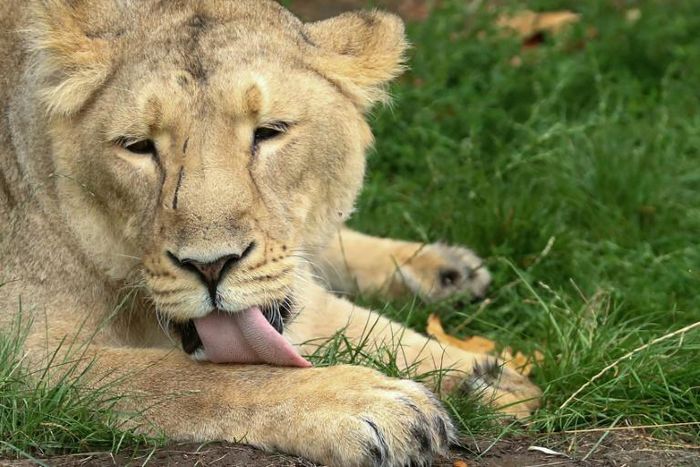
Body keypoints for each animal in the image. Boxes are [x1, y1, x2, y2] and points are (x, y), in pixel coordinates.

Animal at [0, 1, 540, 465]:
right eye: (137, 146)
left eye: (270, 131)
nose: (210, 266)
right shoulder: (26, 363)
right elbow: (192, 377)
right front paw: (371, 404)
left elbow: (362, 325)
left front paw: (490, 380)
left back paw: (446, 271)